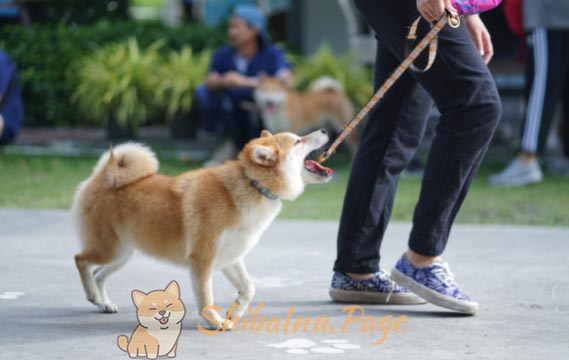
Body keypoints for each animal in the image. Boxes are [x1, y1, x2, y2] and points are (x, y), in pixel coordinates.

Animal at [71, 129, 330, 330]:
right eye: (298, 141)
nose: (326, 130)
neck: (252, 184)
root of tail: (102, 176)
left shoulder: (230, 257)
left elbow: (249, 288)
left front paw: (236, 311)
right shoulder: (202, 259)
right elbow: (206, 297)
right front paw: (215, 322)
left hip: (122, 254)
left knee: (98, 274)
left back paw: (103, 303)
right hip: (110, 250)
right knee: (81, 260)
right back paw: (92, 295)